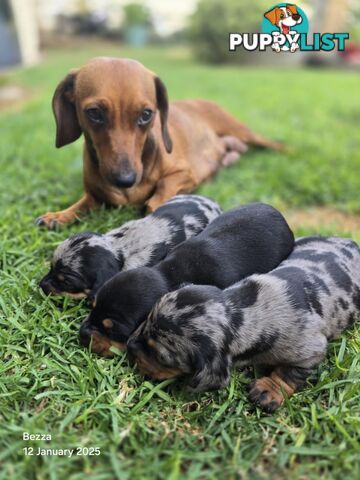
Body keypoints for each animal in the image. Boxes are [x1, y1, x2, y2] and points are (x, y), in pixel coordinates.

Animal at [34, 56, 282, 229]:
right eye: (94, 113)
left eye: (146, 114)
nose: (125, 180)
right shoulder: (95, 197)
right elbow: (81, 205)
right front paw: (59, 215)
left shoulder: (184, 173)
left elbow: (161, 189)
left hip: (245, 132)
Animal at [128, 236, 360, 412]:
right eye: (146, 320)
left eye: (160, 357)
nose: (129, 346)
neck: (243, 309)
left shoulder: (310, 352)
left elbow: (288, 373)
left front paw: (270, 390)